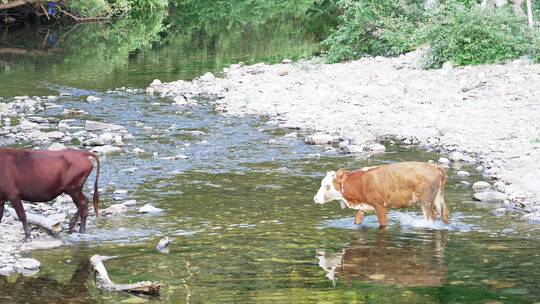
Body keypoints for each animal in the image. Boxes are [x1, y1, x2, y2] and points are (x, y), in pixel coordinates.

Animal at [312, 162, 448, 226]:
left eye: (327, 186)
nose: (315, 199)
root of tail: (434, 166)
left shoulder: (380, 206)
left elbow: (383, 224)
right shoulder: (363, 206)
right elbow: (357, 221)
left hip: (426, 201)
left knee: (430, 218)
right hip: (439, 199)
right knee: (444, 215)